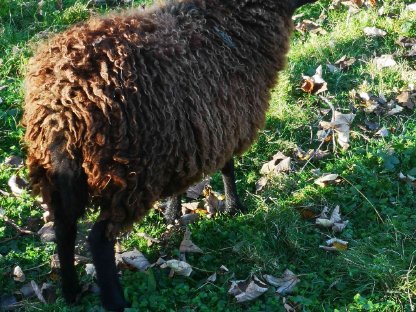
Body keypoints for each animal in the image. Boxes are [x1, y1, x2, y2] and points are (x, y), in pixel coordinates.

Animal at [22, 0, 316, 308]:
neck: (229, 19)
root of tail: (64, 110)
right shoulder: (225, 120)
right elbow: (228, 167)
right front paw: (234, 207)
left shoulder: (187, 133)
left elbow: (185, 179)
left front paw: (172, 214)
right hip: (126, 175)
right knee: (99, 239)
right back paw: (116, 300)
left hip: (59, 177)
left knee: (64, 229)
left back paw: (71, 292)